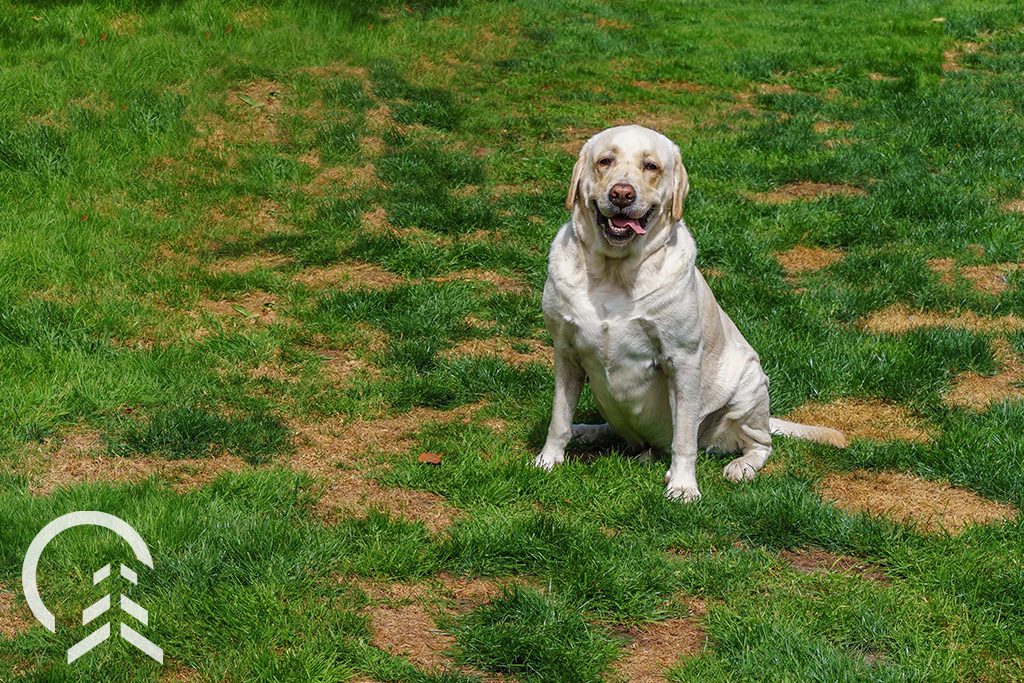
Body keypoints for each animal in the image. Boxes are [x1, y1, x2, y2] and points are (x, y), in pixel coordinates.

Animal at [532, 124, 843, 501]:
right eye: (605, 161)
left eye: (651, 166)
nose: (622, 194)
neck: (614, 274)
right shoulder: (565, 352)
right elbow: (558, 419)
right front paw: (549, 459)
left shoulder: (682, 360)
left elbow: (684, 438)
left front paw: (682, 486)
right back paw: (587, 431)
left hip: (750, 384)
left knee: (759, 444)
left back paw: (739, 467)